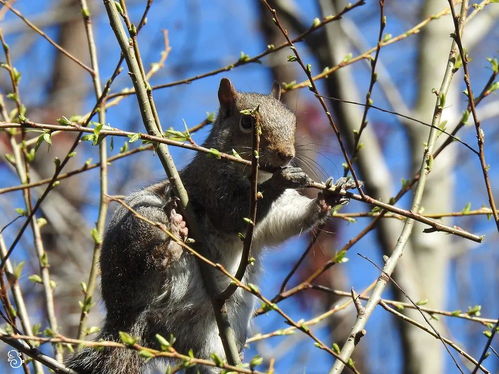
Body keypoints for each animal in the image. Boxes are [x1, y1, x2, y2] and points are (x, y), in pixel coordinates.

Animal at [66, 77, 356, 372]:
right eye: (247, 122)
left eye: (293, 121)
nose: (286, 155)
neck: (255, 176)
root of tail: (127, 323)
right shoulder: (210, 187)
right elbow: (231, 215)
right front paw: (282, 180)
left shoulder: (273, 217)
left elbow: (284, 220)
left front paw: (329, 197)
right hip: (140, 224)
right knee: (146, 264)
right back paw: (171, 242)